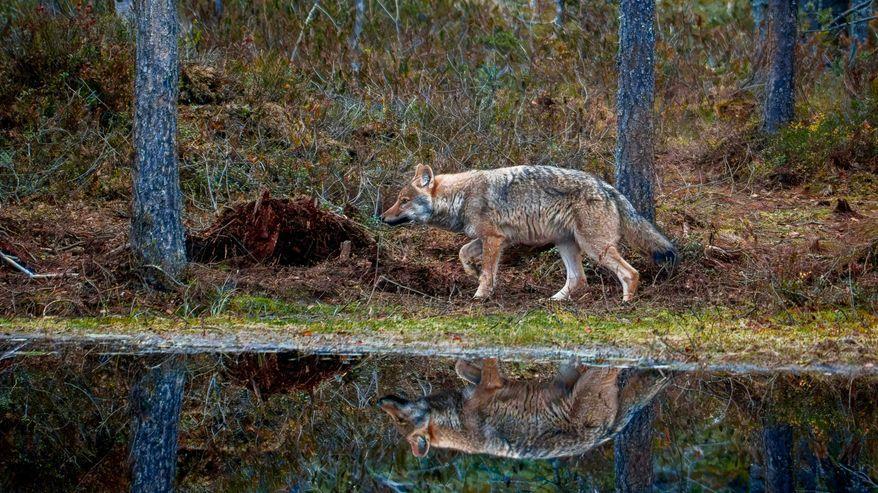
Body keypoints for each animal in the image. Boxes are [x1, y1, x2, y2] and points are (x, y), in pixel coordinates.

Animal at [377, 359, 668, 459]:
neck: (457, 422)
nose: (380, 402)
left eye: (399, 420)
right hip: (571, 376)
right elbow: (461, 367)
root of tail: (605, 434)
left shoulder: (492, 384)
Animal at [380, 164, 676, 301]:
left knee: (630, 273)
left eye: (403, 201)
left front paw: (480, 296)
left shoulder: (493, 239)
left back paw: (625, 302)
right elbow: (463, 253)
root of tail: (608, 187)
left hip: (594, 248)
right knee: (579, 280)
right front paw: (471, 273)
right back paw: (554, 301)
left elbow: (487, 272)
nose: (381, 218)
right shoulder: (496, 239)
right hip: (565, 244)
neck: (461, 197)